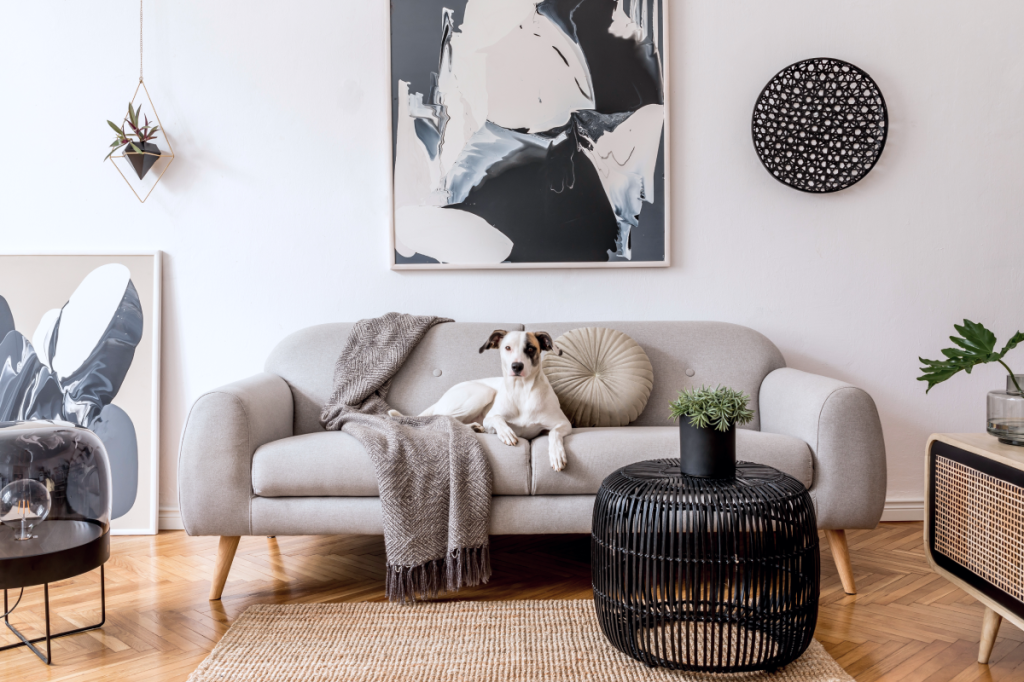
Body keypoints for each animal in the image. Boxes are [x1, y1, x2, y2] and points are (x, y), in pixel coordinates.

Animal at [387, 327, 573, 466]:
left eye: (530, 348)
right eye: (507, 347)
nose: (516, 366)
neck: (521, 391)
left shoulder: (563, 424)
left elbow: (554, 433)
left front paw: (557, 454)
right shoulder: (490, 419)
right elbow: (497, 419)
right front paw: (506, 433)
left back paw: (474, 428)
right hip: (483, 392)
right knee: (443, 418)